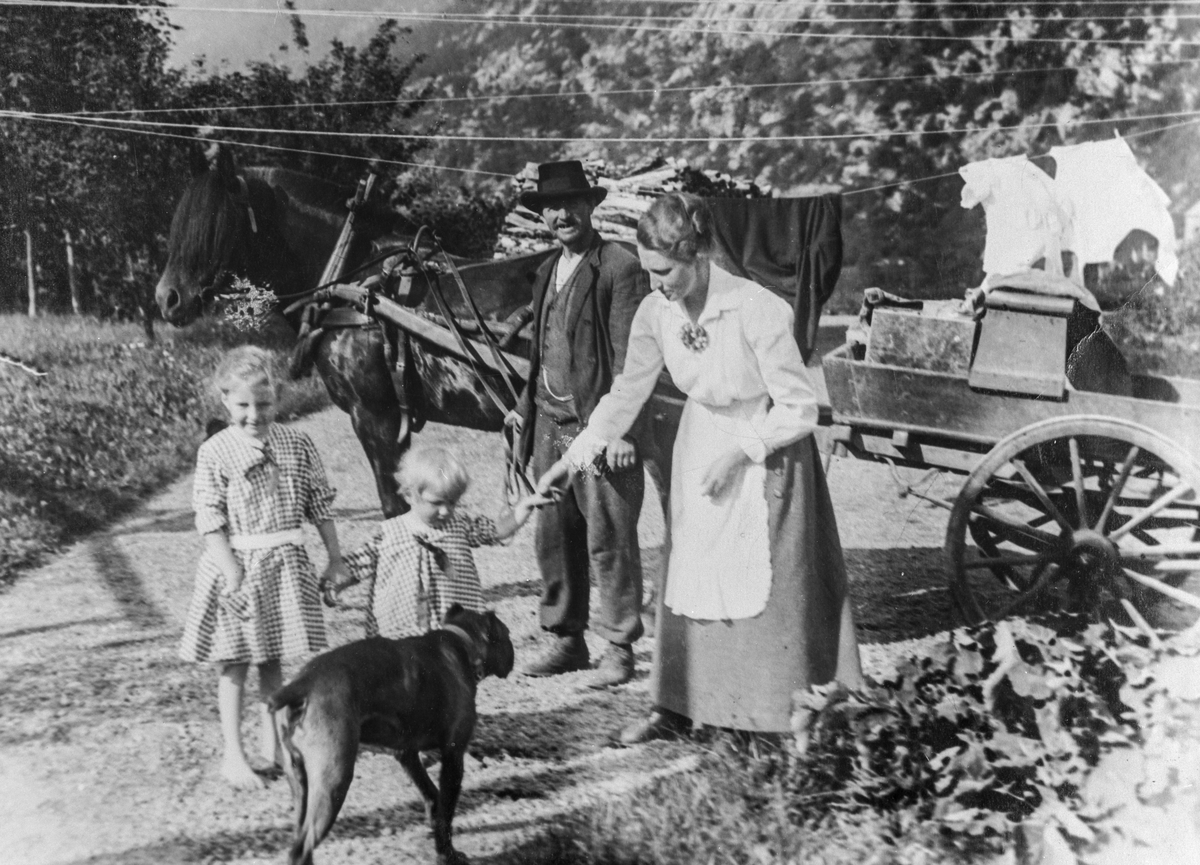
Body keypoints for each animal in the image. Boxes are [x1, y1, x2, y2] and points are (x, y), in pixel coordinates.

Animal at [270, 604, 513, 859]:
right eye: (508, 634)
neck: (463, 642)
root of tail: (302, 683)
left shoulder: (407, 754)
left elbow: (432, 796)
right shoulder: (453, 757)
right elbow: (446, 810)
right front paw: (446, 853)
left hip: (301, 786)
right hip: (333, 780)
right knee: (302, 848)